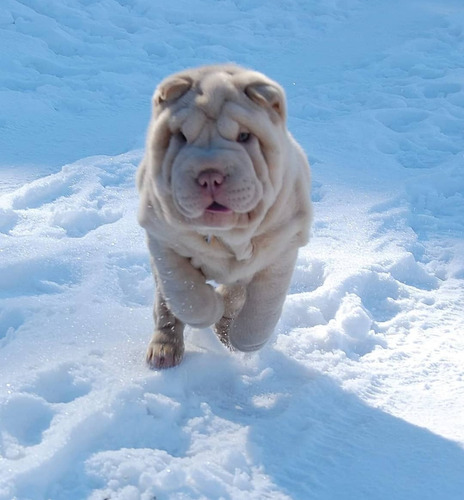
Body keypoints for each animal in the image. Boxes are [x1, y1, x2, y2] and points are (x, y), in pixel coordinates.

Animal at [137, 64, 312, 368]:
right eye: (182, 137)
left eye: (244, 136)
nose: (210, 176)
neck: (225, 235)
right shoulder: (163, 241)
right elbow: (188, 297)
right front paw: (211, 308)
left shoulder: (281, 249)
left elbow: (260, 315)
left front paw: (239, 335)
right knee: (165, 304)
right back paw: (164, 350)